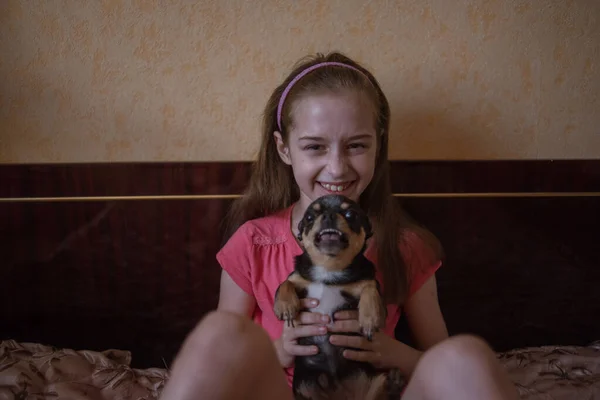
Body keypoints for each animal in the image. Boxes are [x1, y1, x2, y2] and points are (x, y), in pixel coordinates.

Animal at [274, 195, 406, 400]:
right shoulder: (298, 277)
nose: (328, 215)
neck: (329, 268)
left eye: (350, 214)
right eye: (310, 217)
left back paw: (394, 381)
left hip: (373, 383)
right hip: (305, 386)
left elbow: (371, 288)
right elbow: (285, 283)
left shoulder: (366, 280)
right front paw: (286, 306)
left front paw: (370, 318)